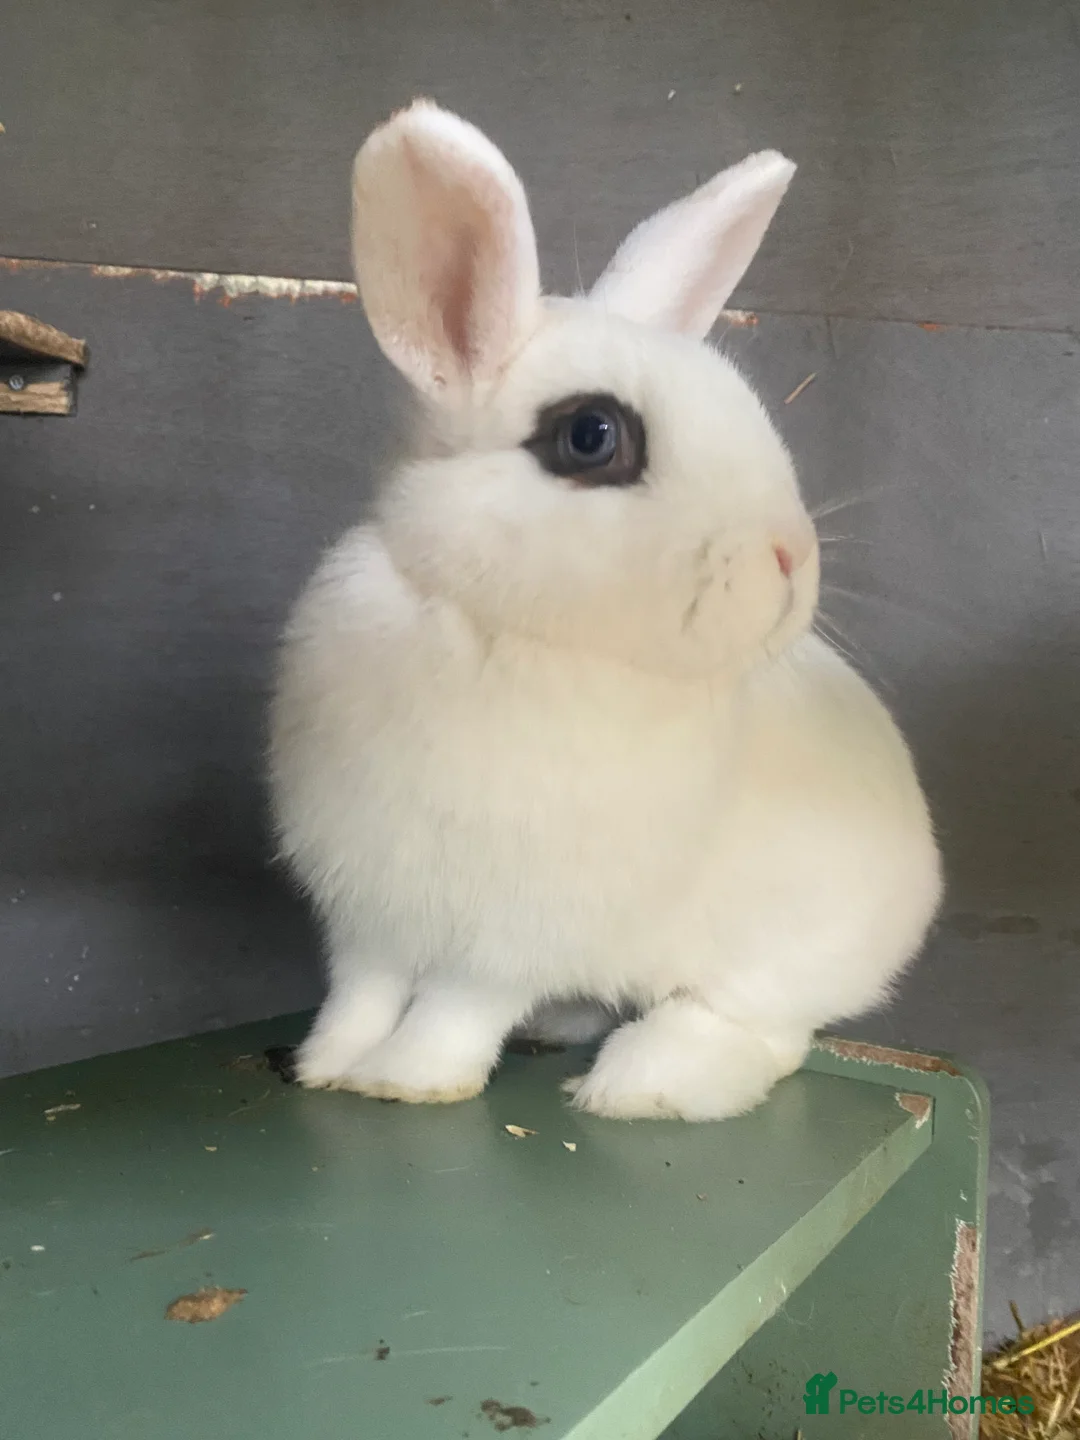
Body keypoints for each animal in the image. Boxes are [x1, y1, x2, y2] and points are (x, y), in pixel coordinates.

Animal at [268, 99, 942, 1121]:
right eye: (592, 436)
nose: (791, 557)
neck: (501, 630)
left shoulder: (515, 930)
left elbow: (456, 1006)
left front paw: (408, 1080)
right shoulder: (366, 908)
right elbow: (363, 992)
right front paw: (330, 1066)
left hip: (771, 959)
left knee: (763, 1032)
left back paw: (641, 1082)